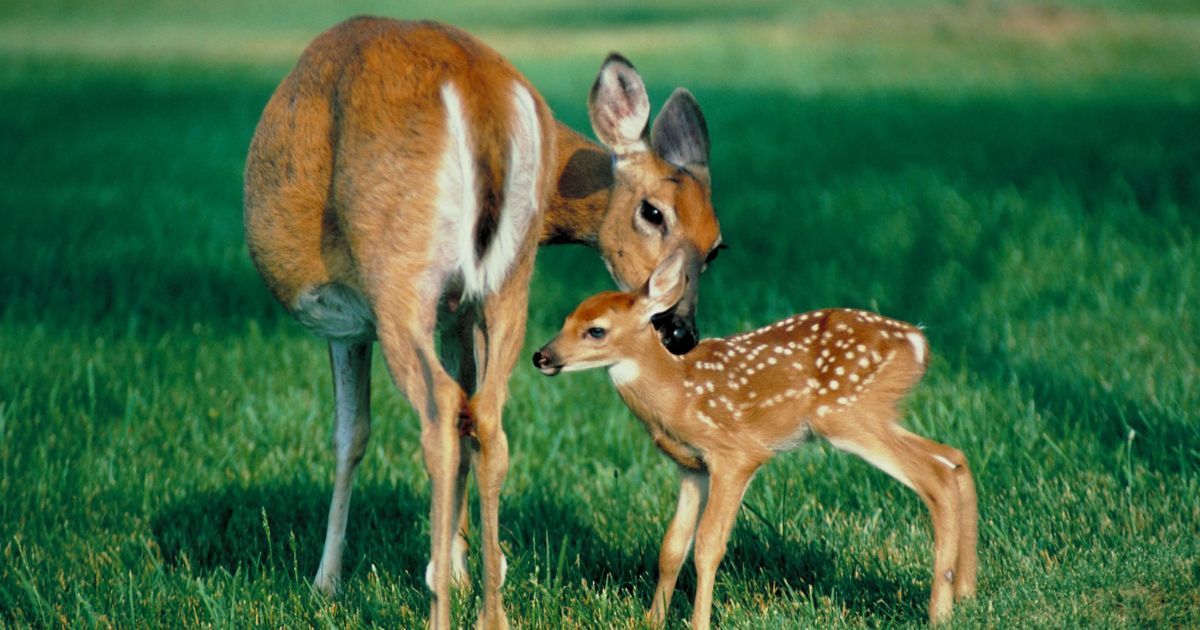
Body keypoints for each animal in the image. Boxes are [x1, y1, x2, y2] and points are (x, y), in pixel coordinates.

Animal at [243, 17, 723, 629]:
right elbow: (464, 424)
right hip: (510, 278)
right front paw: (462, 568)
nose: (682, 331)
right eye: (653, 212)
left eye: (714, 248)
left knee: (441, 411)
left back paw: (440, 613)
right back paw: (491, 612)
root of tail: (479, 97)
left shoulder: (350, 322)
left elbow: (350, 435)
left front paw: (327, 583)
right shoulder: (460, 311)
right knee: (488, 416)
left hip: (398, 270)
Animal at [532, 251, 979, 627]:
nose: (541, 356)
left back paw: (939, 611)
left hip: (847, 413)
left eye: (596, 331)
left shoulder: (735, 454)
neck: (678, 392)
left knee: (936, 475)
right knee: (954, 456)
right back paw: (967, 592)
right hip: (875, 413)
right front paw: (652, 621)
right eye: (566, 319)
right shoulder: (691, 467)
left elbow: (708, 545)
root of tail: (919, 343)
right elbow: (671, 547)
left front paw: (698, 622)